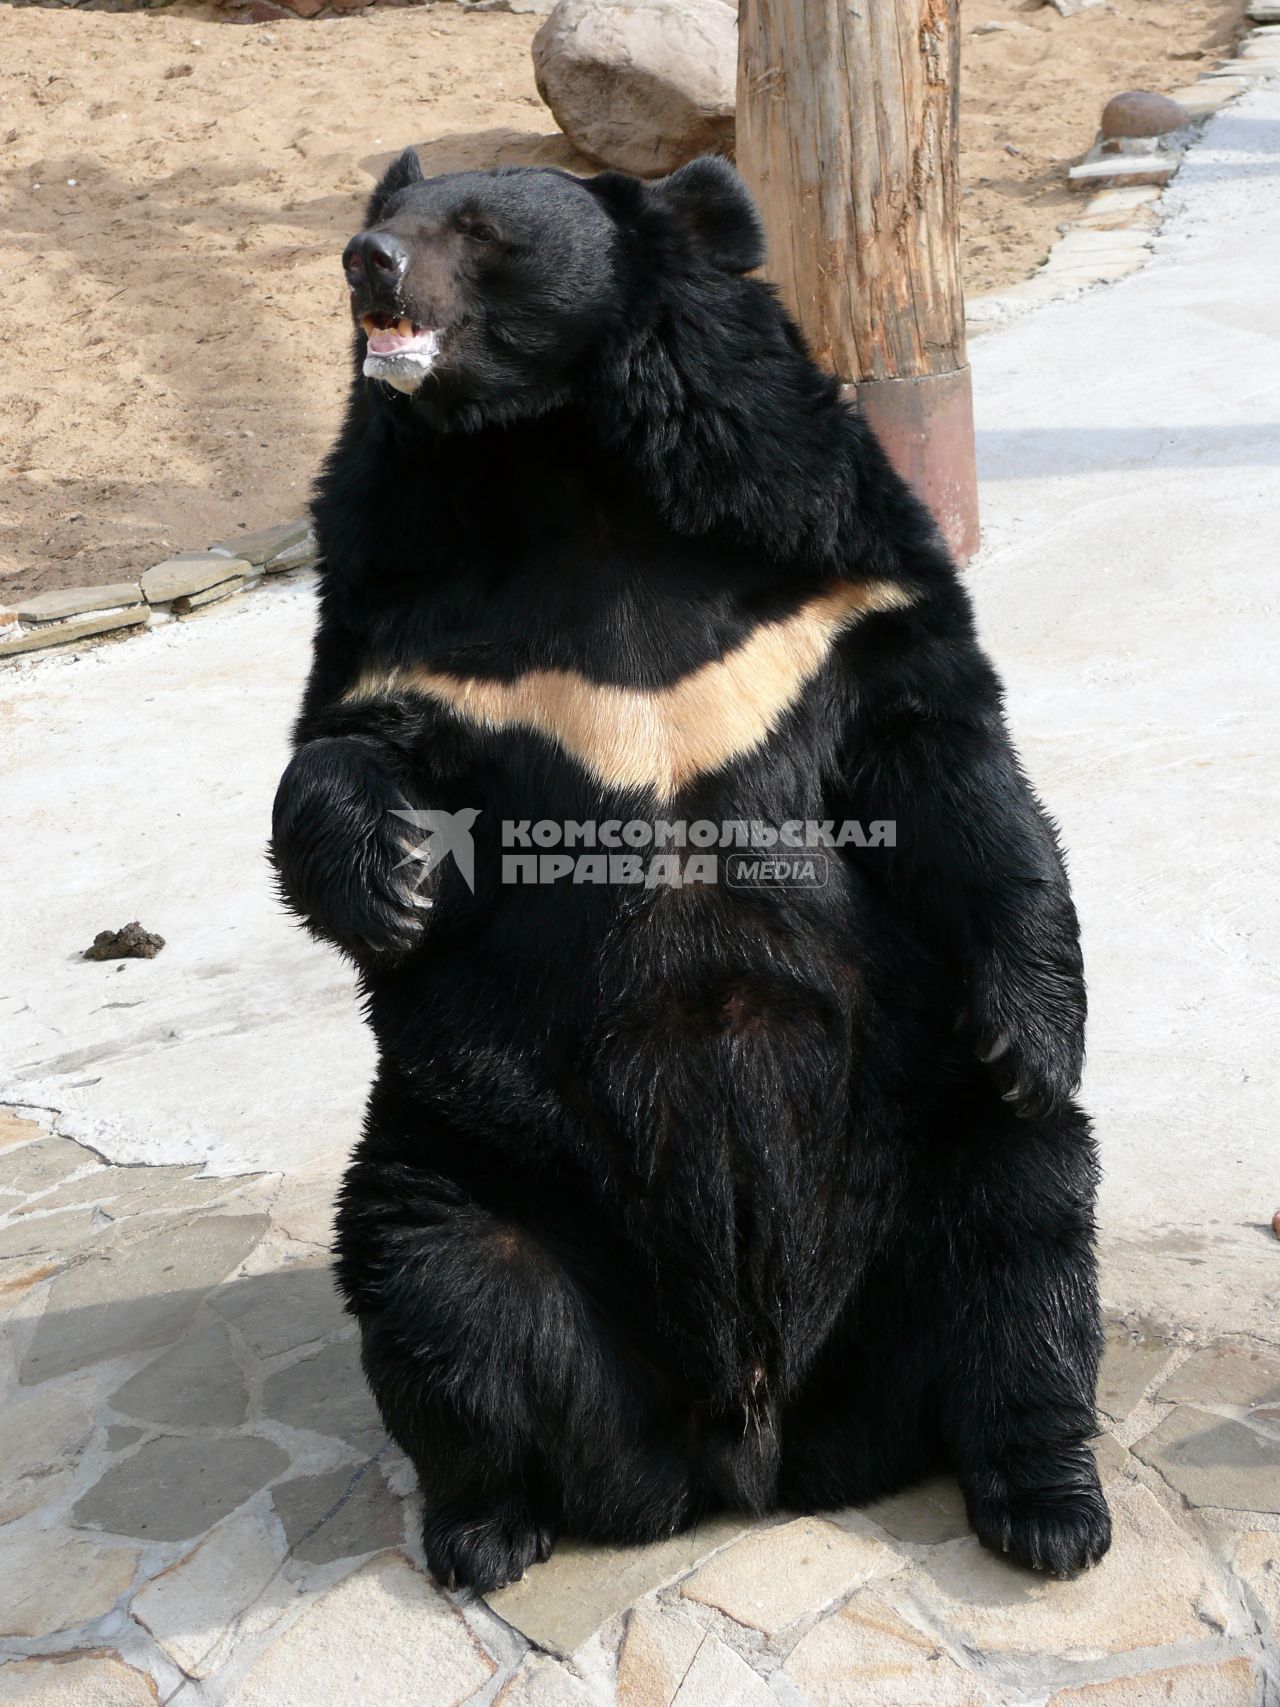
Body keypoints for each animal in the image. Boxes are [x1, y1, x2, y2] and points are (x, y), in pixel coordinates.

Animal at [273, 150, 1112, 1597]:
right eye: (391, 216)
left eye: (476, 229)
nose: (364, 262)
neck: (556, 465)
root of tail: (755, 1441)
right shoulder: (409, 609)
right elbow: (347, 742)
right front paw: (391, 882)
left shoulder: (821, 578)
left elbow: (948, 769)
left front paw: (1032, 1027)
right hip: (477, 1155)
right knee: (437, 1285)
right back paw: (487, 1527)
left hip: (922, 1139)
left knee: (1029, 1233)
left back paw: (1049, 1508)